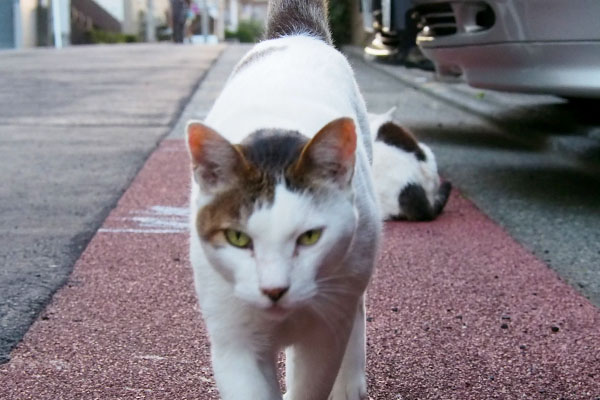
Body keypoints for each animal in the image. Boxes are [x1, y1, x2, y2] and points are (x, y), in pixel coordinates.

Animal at [185, 0, 380, 400]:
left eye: (310, 237)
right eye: (238, 238)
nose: (274, 290)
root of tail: (298, 35)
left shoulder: (325, 333)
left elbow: (313, 380)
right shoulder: (233, 339)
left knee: (356, 311)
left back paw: (350, 384)